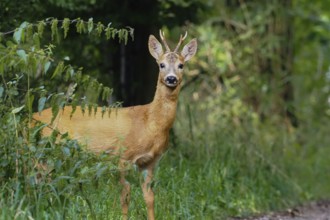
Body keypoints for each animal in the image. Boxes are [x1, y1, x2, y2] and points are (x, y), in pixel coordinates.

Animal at [34, 30, 196, 219]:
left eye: (181, 65)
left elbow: (149, 197)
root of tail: (29, 119)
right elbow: (125, 196)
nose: (171, 79)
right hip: (46, 149)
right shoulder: (123, 156)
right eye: (161, 65)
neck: (150, 123)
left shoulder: (150, 162)